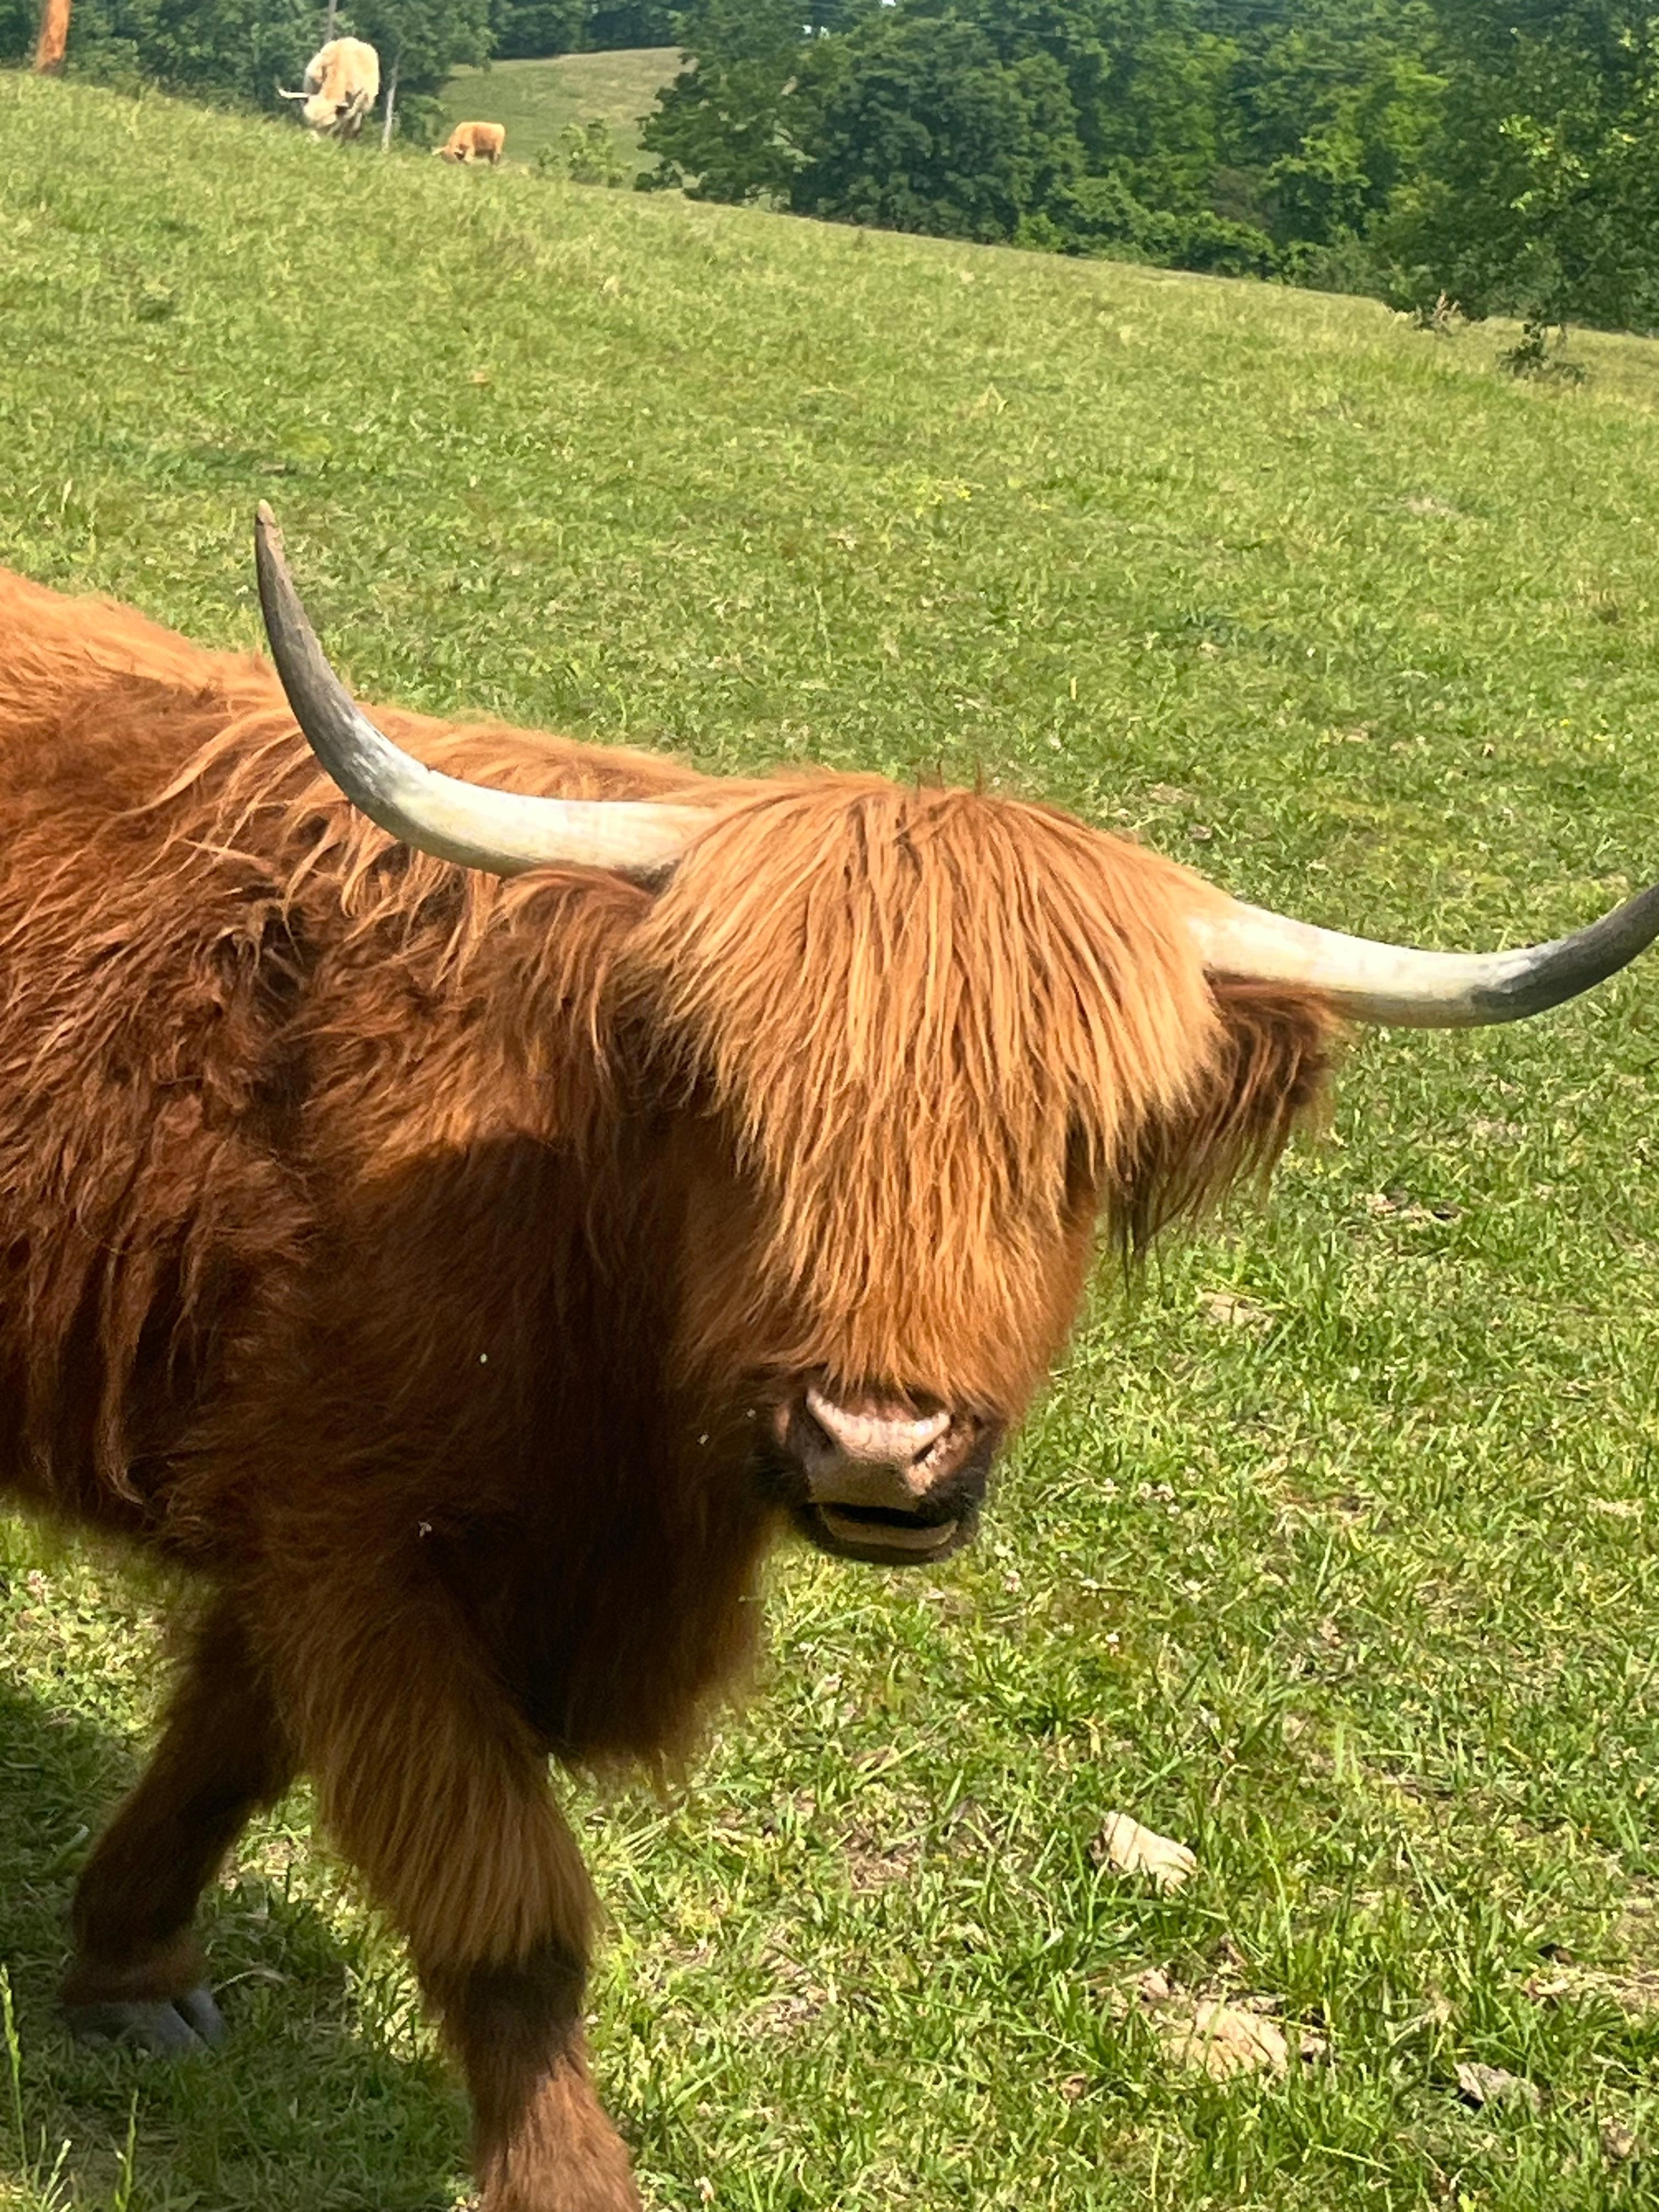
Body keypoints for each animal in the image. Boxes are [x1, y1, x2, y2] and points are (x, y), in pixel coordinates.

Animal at [0, 505, 1655, 2212]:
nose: (875, 1444)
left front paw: (124, 1968)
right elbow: (510, 1916)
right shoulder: (353, 1543)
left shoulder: (320, 1544)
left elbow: (227, 1751)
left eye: (1075, 1149)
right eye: (733, 1106)